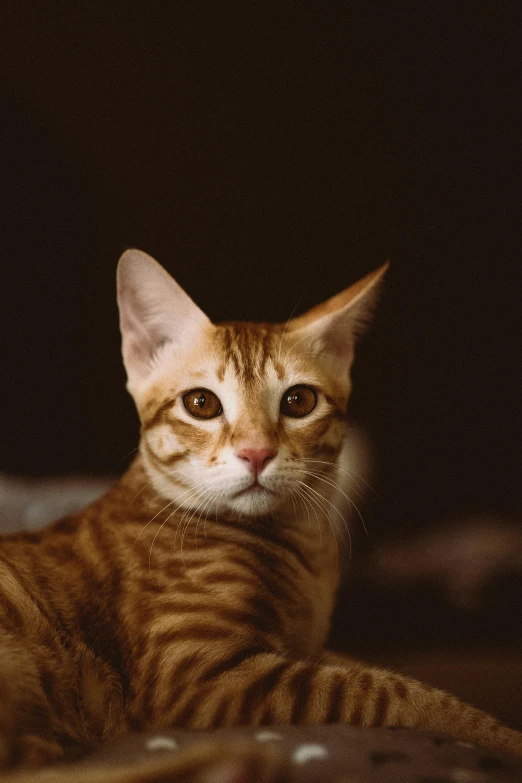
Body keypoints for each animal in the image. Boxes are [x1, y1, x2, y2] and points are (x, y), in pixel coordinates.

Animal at [0, 250, 516, 772]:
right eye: (201, 403)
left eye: (299, 401)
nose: (256, 452)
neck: (301, 550)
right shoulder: (199, 678)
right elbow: (394, 692)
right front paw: (498, 735)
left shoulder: (311, 648)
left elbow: (362, 666)